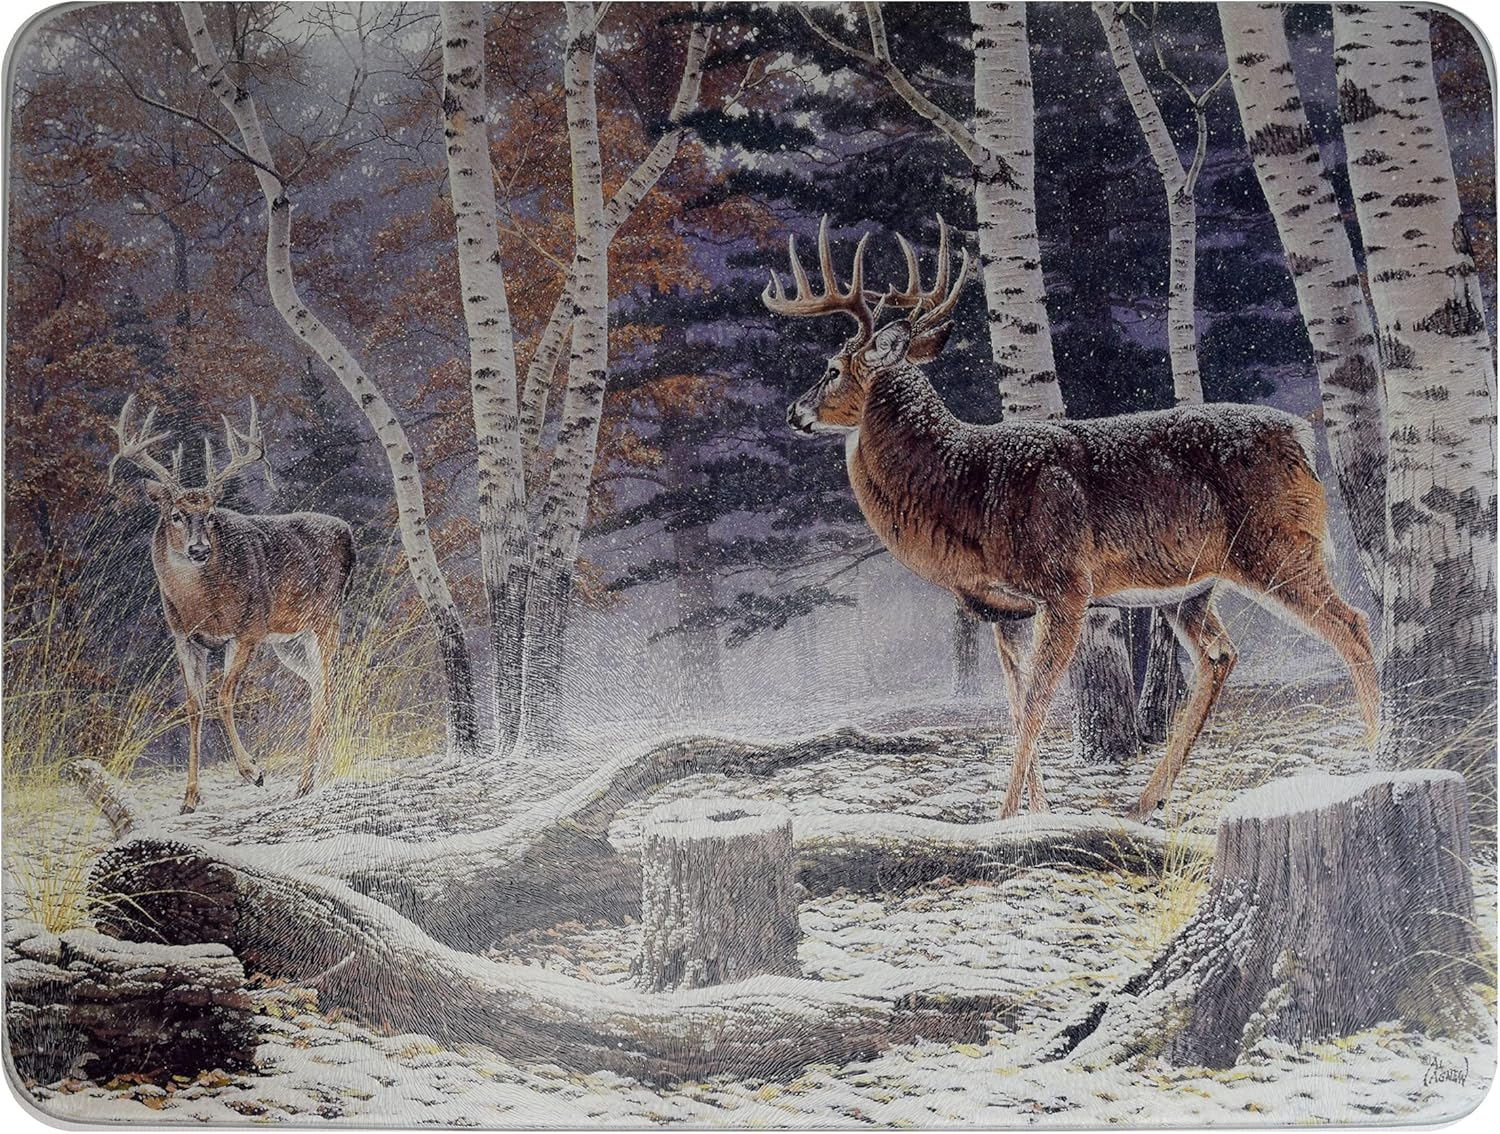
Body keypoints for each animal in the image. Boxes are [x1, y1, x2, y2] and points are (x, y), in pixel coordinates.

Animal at [109, 395, 355, 813]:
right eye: (176, 515)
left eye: (209, 516)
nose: (199, 549)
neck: (202, 604)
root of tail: (348, 532)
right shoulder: (184, 638)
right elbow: (194, 705)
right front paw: (190, 798)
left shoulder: (247, 631)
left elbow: (224, 697)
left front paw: (252, 771)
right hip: (290, 640)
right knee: (322, 686)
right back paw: (317, 775)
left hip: (324, 619)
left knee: (324, 688)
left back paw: (305, 782)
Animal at [762, 217, 1380, 821]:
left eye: (832, 368)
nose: (793, 411)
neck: (965, 489)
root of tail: (1302, 439)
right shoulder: (1002, 607)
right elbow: (1015, 704)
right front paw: (1036, 808)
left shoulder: (1065, 585)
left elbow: (1038, 700)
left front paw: (1004, 815)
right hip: (1192, 588)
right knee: (1220, 656)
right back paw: (1147, 800)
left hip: (1278, 545)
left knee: (1352, 625)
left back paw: (1376, 756)